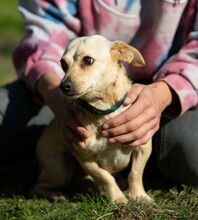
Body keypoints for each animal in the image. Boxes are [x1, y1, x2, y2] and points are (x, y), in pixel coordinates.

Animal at [31, 34, 152, 205]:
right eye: (63, 64)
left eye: (88, 60)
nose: (63, 86)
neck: (104, 113)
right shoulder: (85, 158)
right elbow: (106, 178)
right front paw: (118, 198)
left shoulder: (143, 146)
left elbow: (135, 173)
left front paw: (139, 196)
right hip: (60, 169)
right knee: (38, 186)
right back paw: (58, 195)